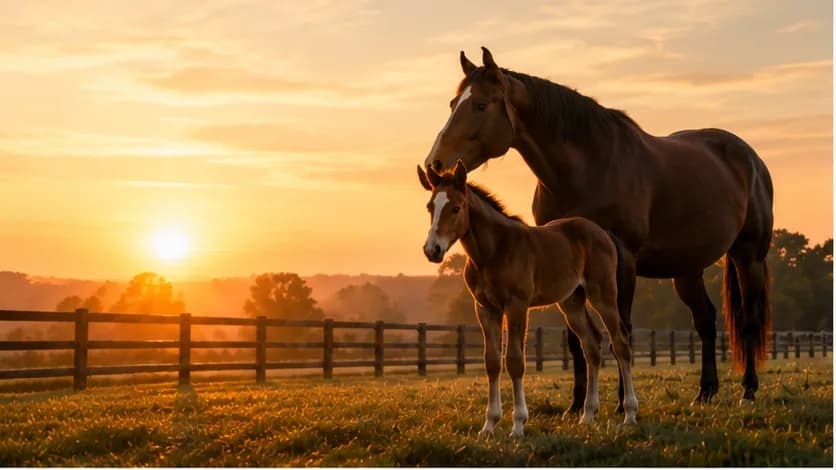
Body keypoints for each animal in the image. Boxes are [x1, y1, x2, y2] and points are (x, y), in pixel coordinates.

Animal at [417, 160, 638, 437]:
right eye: (430, 206)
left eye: (456, 207)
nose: (432, 250)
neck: (492, 252)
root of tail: (604, 234)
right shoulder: (485, 309)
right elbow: (492, 361)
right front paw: (489, 425)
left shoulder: (517, 305)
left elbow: (514, 360)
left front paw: (518, 424)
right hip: (572, 302)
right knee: (592, 345)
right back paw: (587, 415)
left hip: (604, 295)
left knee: (620, 343)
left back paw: (629, 413)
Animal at [423, 47, 774, 410]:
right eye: (453, 103)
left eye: (480, 104)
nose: (436, 162)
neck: (588, 167)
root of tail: (751, 159)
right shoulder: (564, 266)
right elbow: (575, 339)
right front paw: (577, 404)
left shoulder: (624, 260)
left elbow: (623, 328)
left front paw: (622, 402)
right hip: (687, 270)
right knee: (705, 320)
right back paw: (706, 390)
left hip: (748, 256)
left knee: (748, 320)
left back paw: (748, 389)